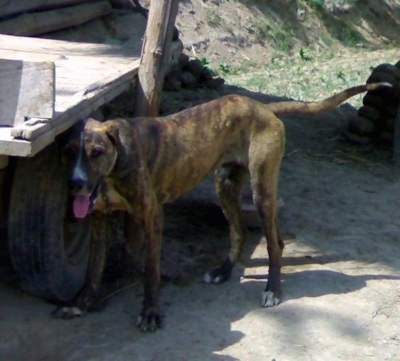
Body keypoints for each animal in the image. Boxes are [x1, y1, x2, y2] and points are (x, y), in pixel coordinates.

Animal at [55, 81, 390, 330]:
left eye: (96, 152)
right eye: (70, 151)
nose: (75, 183)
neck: (114, 166)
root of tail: (263, 107)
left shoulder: (152, 217)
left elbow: (151, 272)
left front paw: (150, 312)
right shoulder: (98, 220)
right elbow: (93, 270)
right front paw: (80, 304)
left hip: (261, 189)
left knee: (275, 243)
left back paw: (273, 290)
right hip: (226, 186)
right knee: (239, 232)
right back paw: (223, 271)